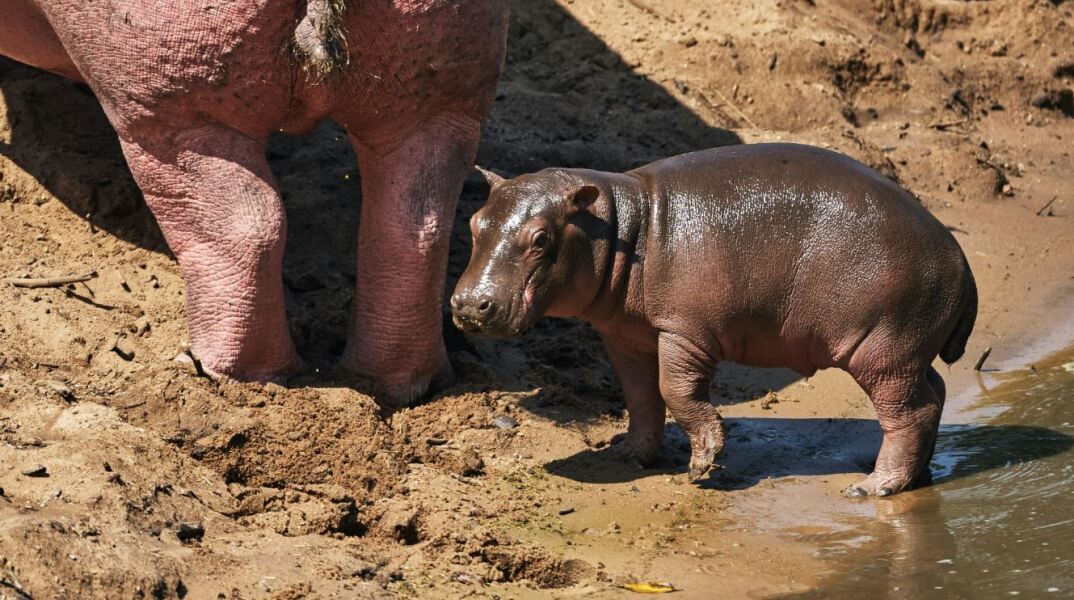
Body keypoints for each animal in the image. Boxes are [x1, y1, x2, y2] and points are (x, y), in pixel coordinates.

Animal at [448, 144, 979, 498]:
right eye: (473, 222)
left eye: (540, 238)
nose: (468, 305)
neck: (625, 224)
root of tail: (961, 259)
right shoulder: (625, 335)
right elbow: (640, 397)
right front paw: (628, 454)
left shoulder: (683, 331)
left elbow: (677, 392)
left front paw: (701, 464)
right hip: (904, 351)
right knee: (935, 393)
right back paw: (911, 474)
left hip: (882, 348)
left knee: (911, 412)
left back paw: (872, 486)